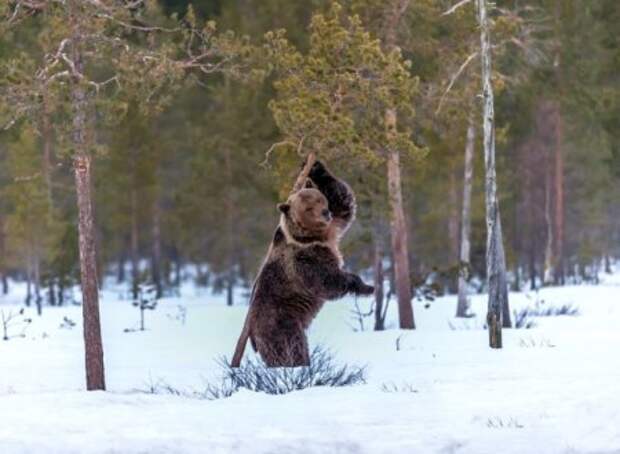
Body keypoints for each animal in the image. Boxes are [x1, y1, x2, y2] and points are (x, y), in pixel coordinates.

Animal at [229, 160, 370, 368]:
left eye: (320, 200)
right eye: (308, 208)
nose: (325, 213)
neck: (313, 237)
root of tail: (251, 332)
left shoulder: (333, 227)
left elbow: (342, 199)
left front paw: (313, 166)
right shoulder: (303, 261)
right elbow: (327, 282)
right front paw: (364, 285)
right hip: (280, 321)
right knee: (290, 347)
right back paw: (298, 364)